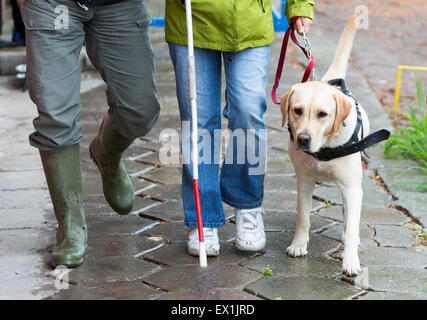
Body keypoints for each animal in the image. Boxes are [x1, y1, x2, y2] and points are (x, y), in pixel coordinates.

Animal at [280, 15, 368, 276]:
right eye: (297, 110)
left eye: (322, 114)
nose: (303, 138)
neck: (324, 149)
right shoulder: (304, 181)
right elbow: (303, 217)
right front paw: (299, 245)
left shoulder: (352, 188)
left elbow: (352, 227)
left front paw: (351, 260)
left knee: (349, 217)